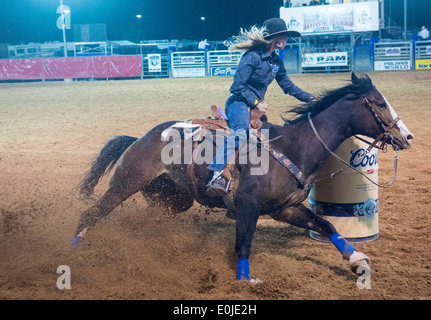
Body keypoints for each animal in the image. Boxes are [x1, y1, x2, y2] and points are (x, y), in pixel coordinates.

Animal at [71, 72, 416, 280]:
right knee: (91, 213)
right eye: (379, 103)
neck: (294, 146)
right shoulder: (248, 205)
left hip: (173, 199)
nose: (408, 136)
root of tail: (141, 138)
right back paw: (73, 253)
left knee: (139, 224)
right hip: (126, 182)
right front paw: (245, 278)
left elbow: (327, 225)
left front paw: (357, 259)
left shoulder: (285, 209)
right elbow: (243, 242)